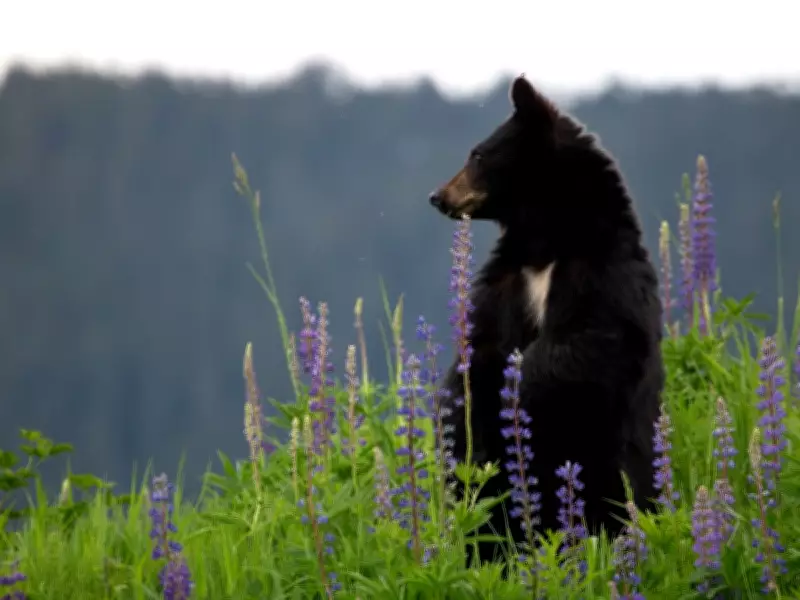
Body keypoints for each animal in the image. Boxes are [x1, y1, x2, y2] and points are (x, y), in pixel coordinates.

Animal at [428, 75, 664, 565]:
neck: (546, 241)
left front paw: (517, 386)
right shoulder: (506, 281)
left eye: (477, 154)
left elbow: (588, 342)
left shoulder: (602, 274)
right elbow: (478, 348)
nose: (438, 195)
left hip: (607, 459)